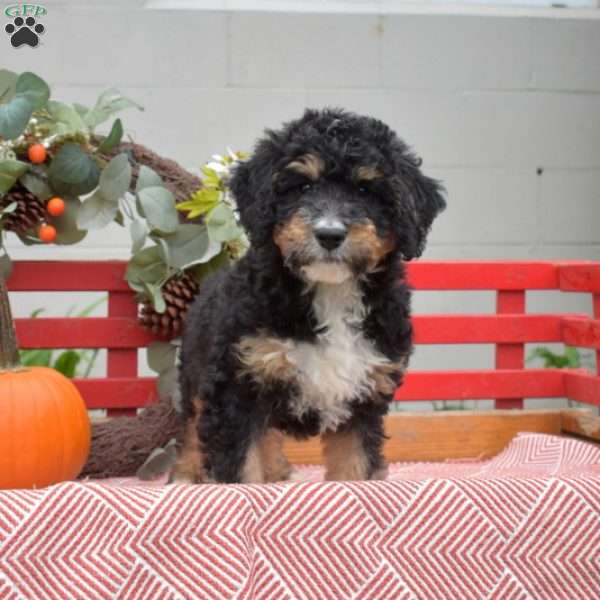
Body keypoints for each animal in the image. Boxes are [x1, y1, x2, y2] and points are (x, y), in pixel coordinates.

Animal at [171, 106, 442, 482]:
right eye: (303, 186)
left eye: (365, 189)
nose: (329, 234)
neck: (331, 292)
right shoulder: (236, 384)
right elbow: (240, 469)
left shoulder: (365, 395)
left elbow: (354, 464)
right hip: (196, 374)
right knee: (192, 426)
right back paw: (185, 474)